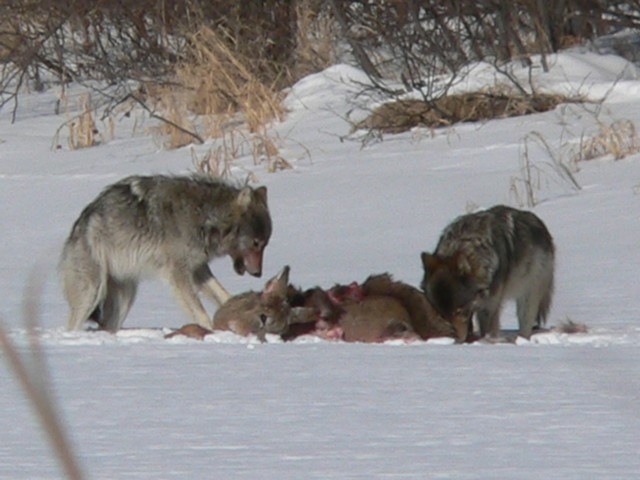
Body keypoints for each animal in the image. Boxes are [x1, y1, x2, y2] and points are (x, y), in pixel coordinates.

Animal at [59, 174, 271, 332]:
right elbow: (201, 314)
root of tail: (79, 224)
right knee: (72, 326)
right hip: (92, 293)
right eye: (256, 243)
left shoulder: (197, 269)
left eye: (265, 245)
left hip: (125, 296)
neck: (204, 217)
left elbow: (223, 294)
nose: (258, 274)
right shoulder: (178, 274)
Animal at [420, 205, 554, 340]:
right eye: (442, 314)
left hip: (528, 297)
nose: (455, 339)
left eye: (459, 311)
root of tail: (542, 227)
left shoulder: (488, 306)